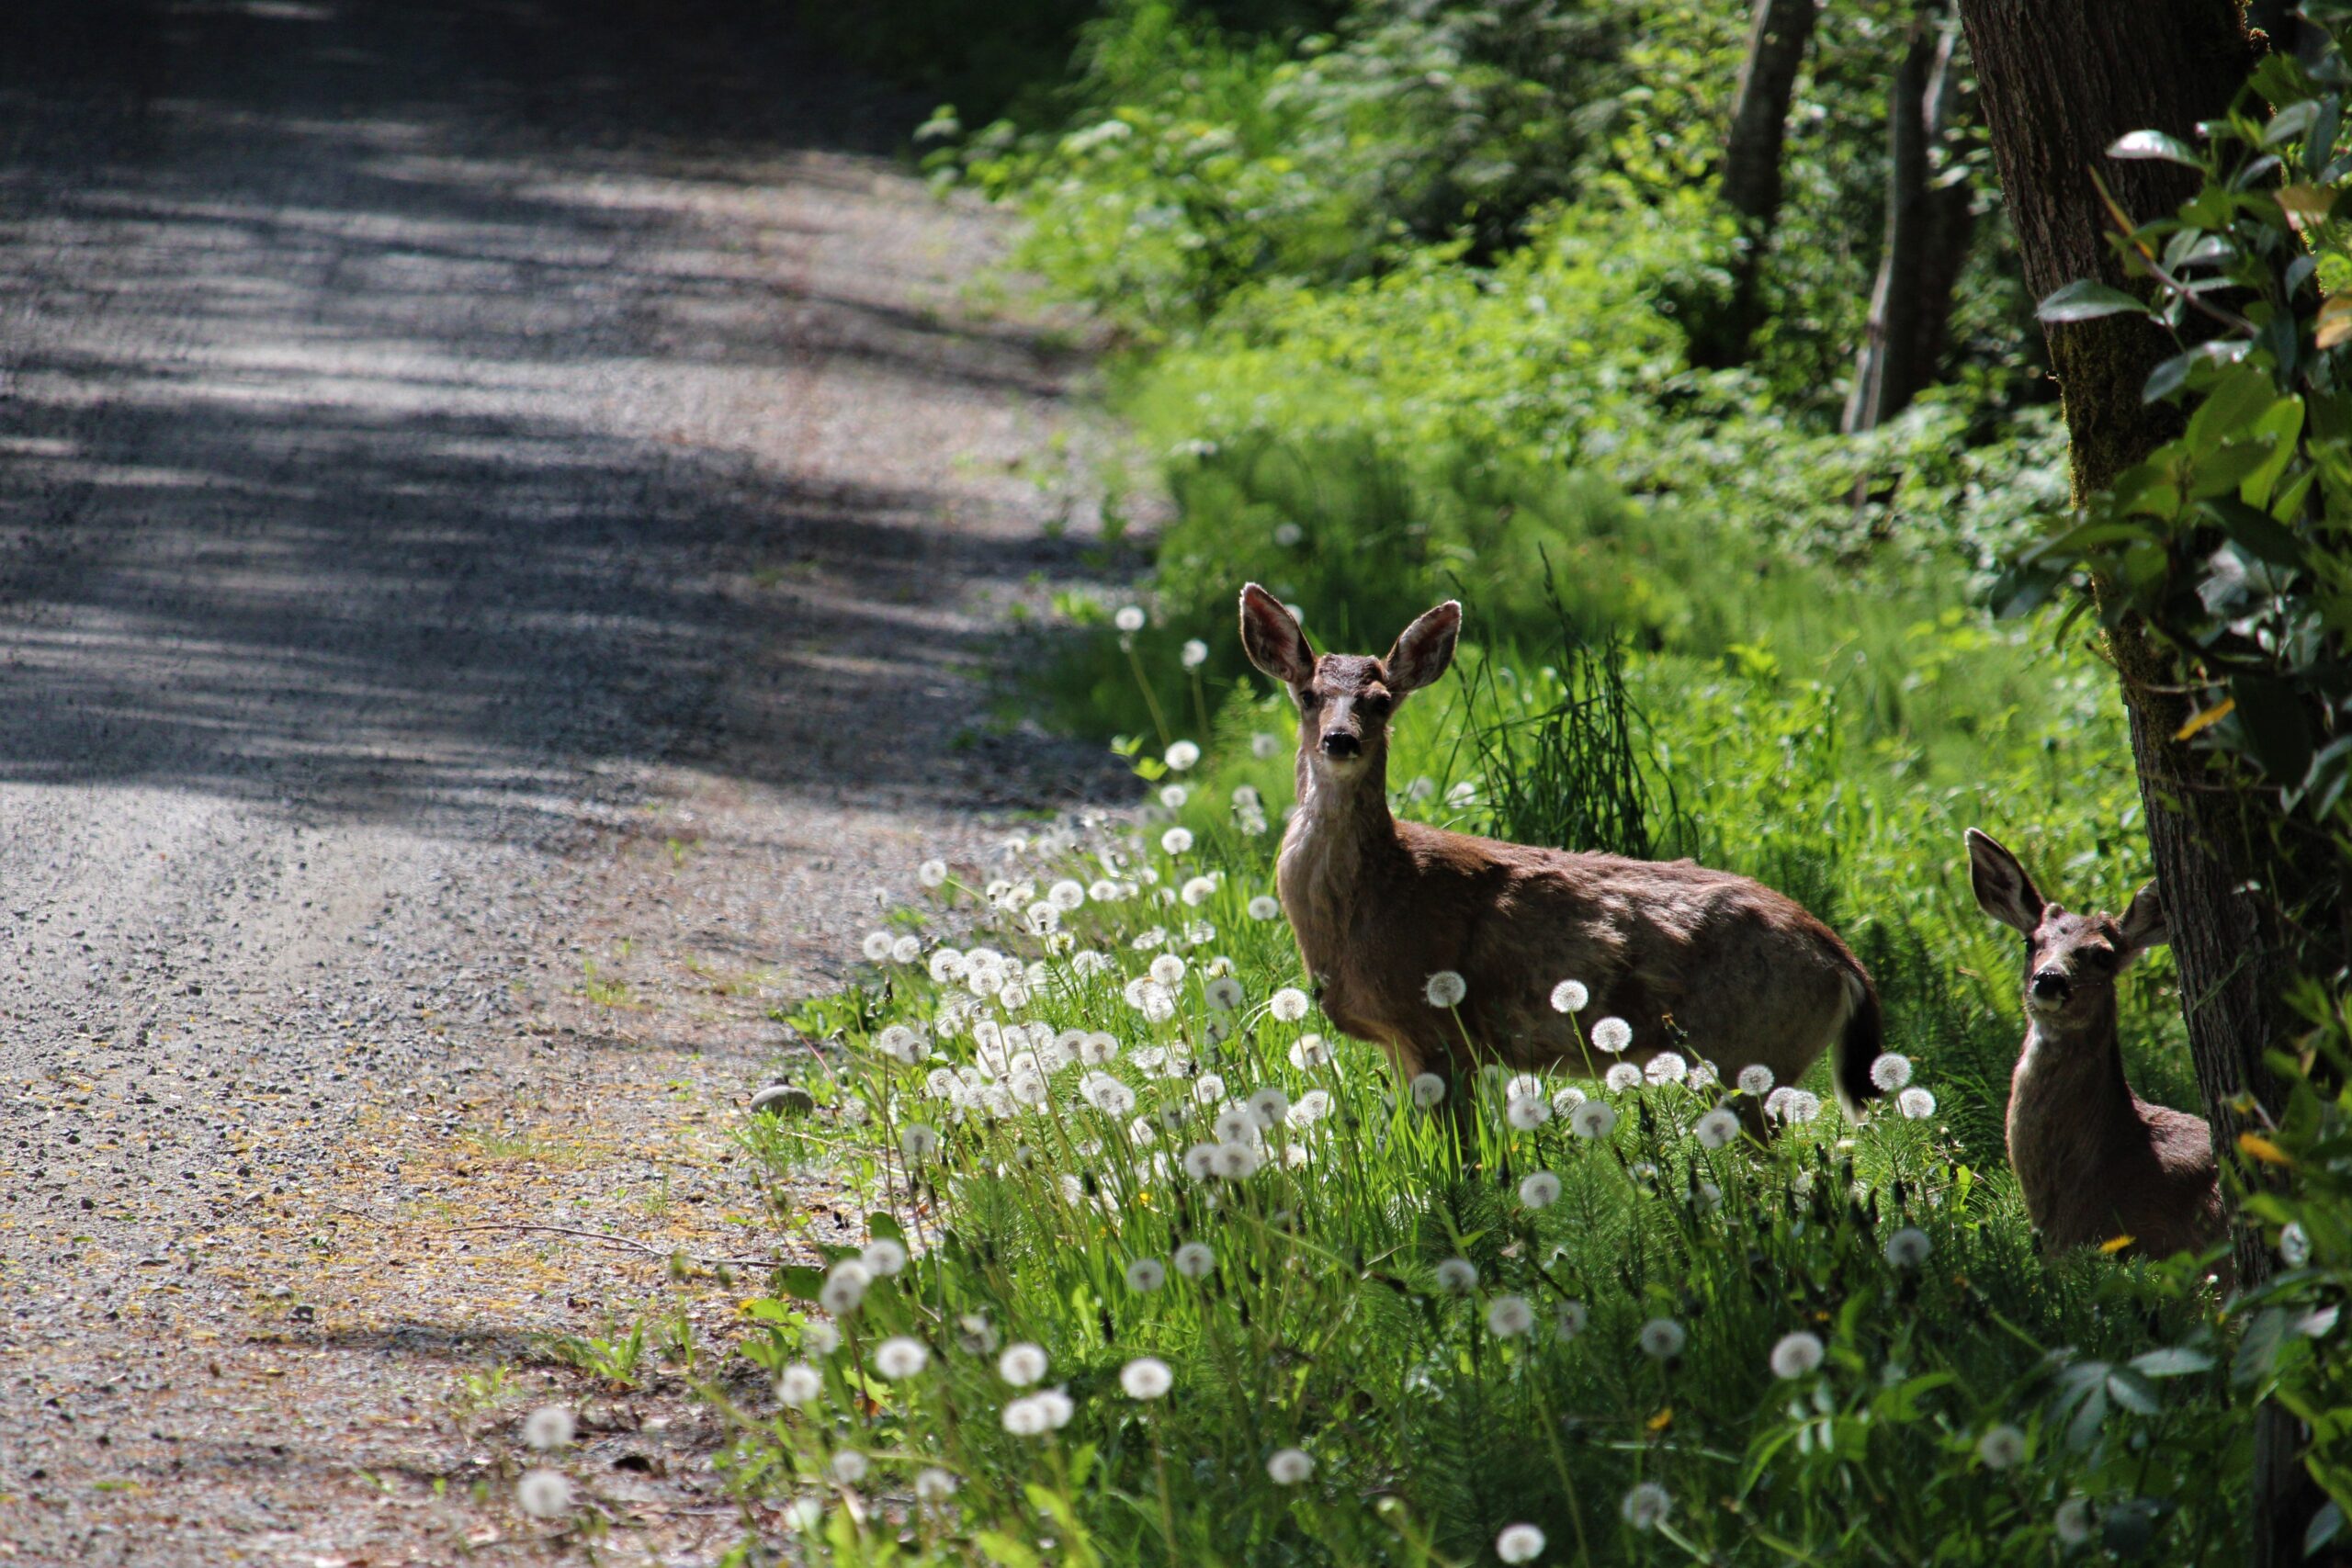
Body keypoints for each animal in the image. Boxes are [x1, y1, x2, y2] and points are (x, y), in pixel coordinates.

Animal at [1237, 584, 1885, 1122]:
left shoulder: (1441, 1032)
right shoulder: (1406, 1044)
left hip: (1747, 1056)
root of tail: (1846, 964)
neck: (1377, 894)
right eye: (1309, 694)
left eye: (1380, 700)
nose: (1339, 739)